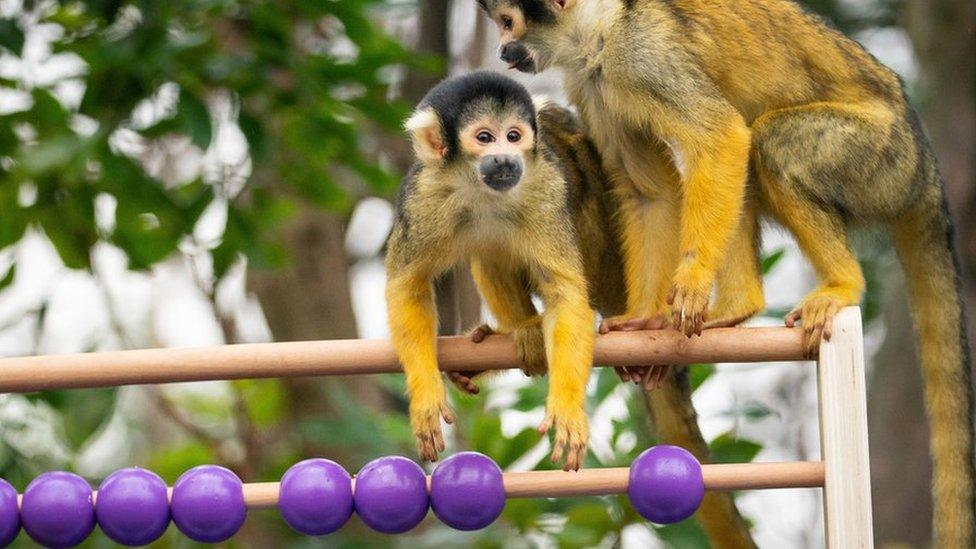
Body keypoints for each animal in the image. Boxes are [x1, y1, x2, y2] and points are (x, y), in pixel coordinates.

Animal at [386, 73, 756, 544]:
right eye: (484, 138)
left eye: (513, 136)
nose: (506, 159)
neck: (480, 190)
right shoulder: (423, 197)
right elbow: (407, 287)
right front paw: (426, 399)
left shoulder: (545, 189)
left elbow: (566, 297)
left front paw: (566, 410)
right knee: (489, 245)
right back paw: (522, 329)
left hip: (605, 253)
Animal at [480, 0, 976, 540]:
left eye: (506, 22)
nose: (502, 51)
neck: (599, 30)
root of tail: (924, 168)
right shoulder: (593, 84)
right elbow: (648, 191)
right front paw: (646, 320)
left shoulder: (640, 58)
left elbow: (720, 137)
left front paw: (691, 281)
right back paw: (740, 307)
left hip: (878, 160)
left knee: (768, 140)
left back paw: (843, 283)